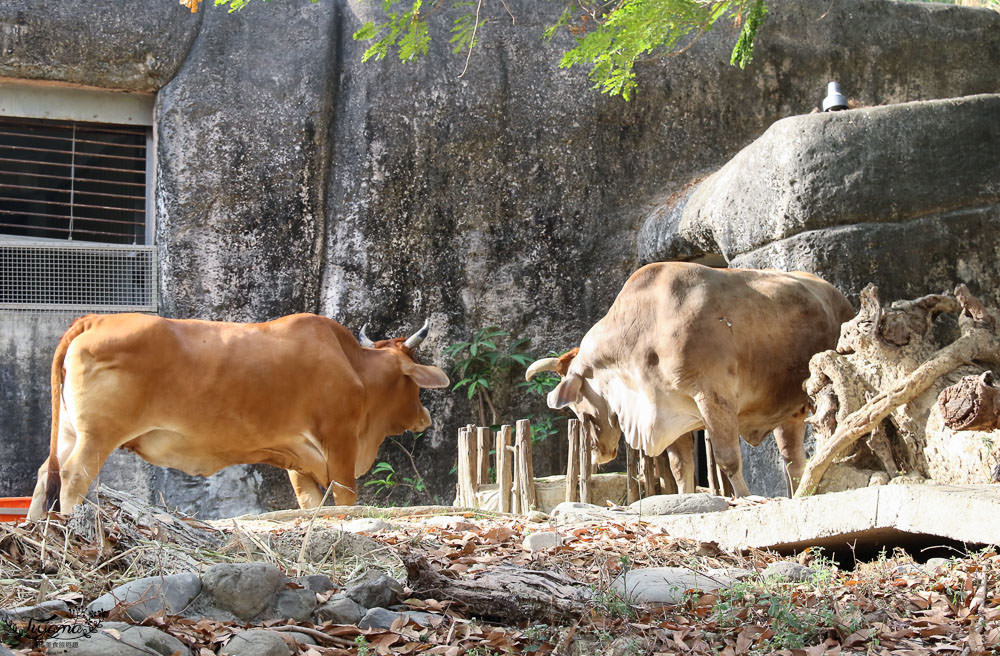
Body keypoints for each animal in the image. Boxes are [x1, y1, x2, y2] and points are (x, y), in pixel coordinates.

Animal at [27, 312, 450, 516]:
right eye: (412, 382)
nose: (424, 417)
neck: (356, 367)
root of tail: (95, 319)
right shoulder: (340, 445)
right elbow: (347, 502)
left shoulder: (298, 459)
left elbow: (311, 505)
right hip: (97, 438)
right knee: (72, 478)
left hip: (69, 434)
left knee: (45, 475)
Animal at [524, 262, 852, 498]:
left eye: (578, 406)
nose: (597, 453)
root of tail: (838, 297)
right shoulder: (671, 413)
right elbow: (680, 468)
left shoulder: (714, 398)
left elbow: (727, 458)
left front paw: (745, 498)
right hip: (789, 414)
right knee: (793, 459)